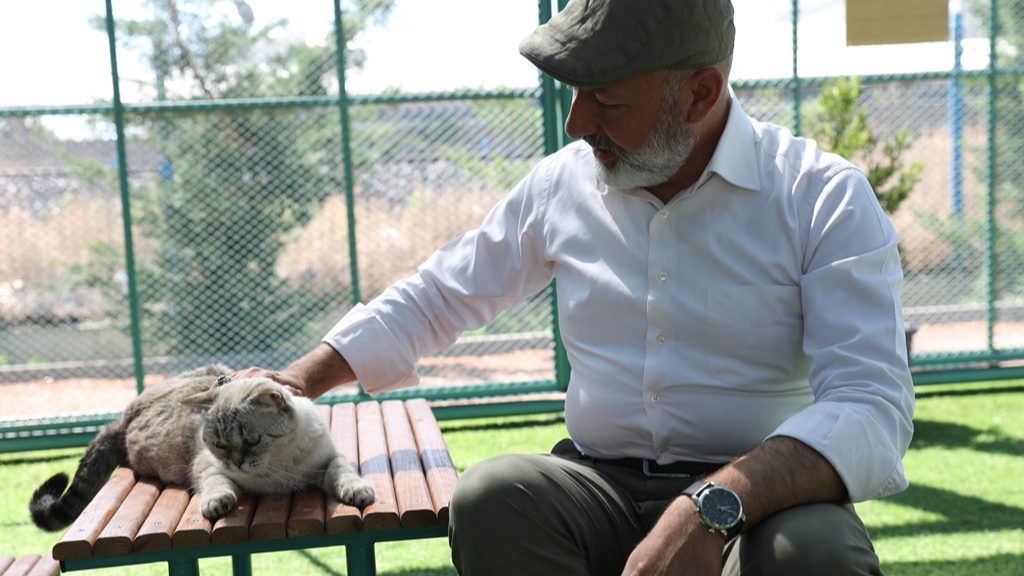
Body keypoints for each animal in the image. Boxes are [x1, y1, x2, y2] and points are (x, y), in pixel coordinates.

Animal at [29, 362, 378, 528]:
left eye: (252, 441)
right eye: (220, 445)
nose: (237, 462)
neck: (278, 470)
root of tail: (125, 413)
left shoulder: (328, 457)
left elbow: (343, 471)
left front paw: (357, 490)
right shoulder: (206, 465)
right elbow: (215, 483)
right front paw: (218, 501)